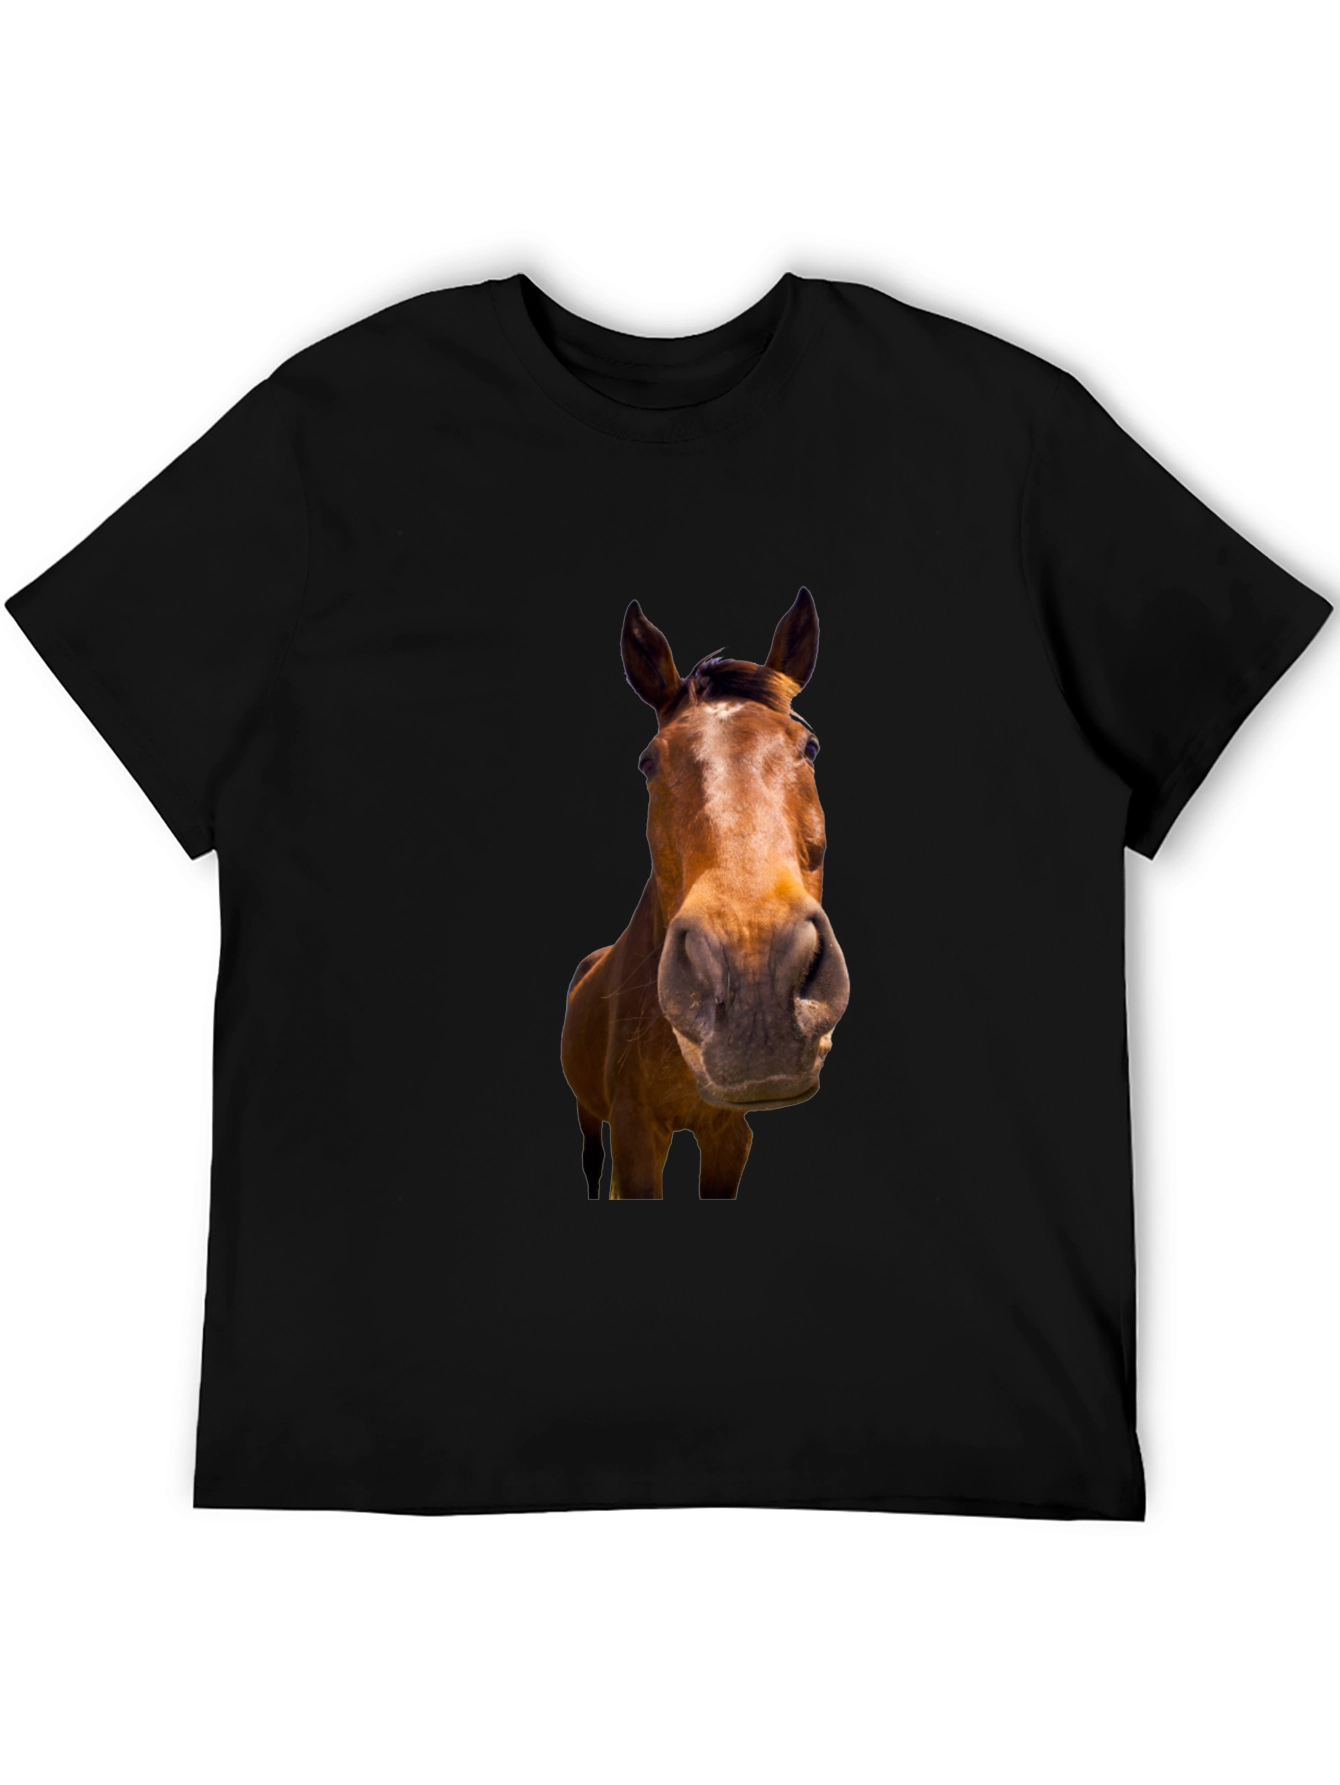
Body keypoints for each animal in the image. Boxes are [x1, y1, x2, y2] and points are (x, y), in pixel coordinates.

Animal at [561, 589, 850, 1200]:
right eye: (648, 761)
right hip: (587, 1114)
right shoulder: (636, 1133)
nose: (755, 980)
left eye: (810, 747)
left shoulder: (728, 1135)